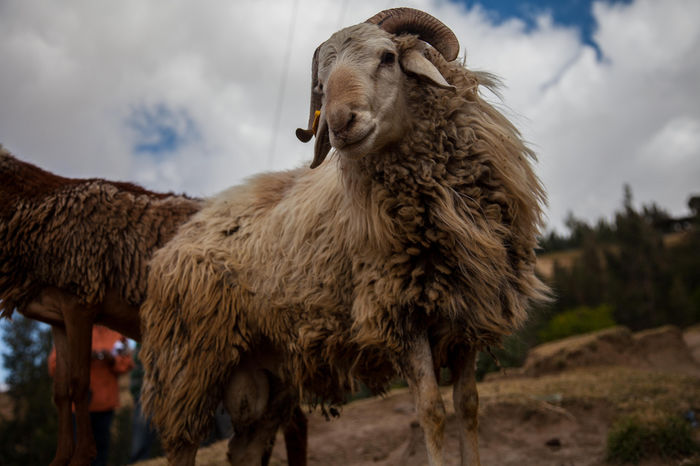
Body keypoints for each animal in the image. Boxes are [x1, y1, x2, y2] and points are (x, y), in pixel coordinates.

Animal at [0, 148, 308, 466]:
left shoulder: (80, 298)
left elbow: (80, 383)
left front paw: (82, 456)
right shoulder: (57, 318)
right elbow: (61, 393)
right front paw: (60, 460)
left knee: (294, 424)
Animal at [139, 8, 548, 466]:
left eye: (388, 57)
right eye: (321, 84)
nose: (339, 123)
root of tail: (183, 231)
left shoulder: (468, 314)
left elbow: (469, 406)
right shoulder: (400, 314)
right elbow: (432, 410)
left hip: (269, 370)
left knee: (244, 449)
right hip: (188, 363)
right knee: (182, 444)